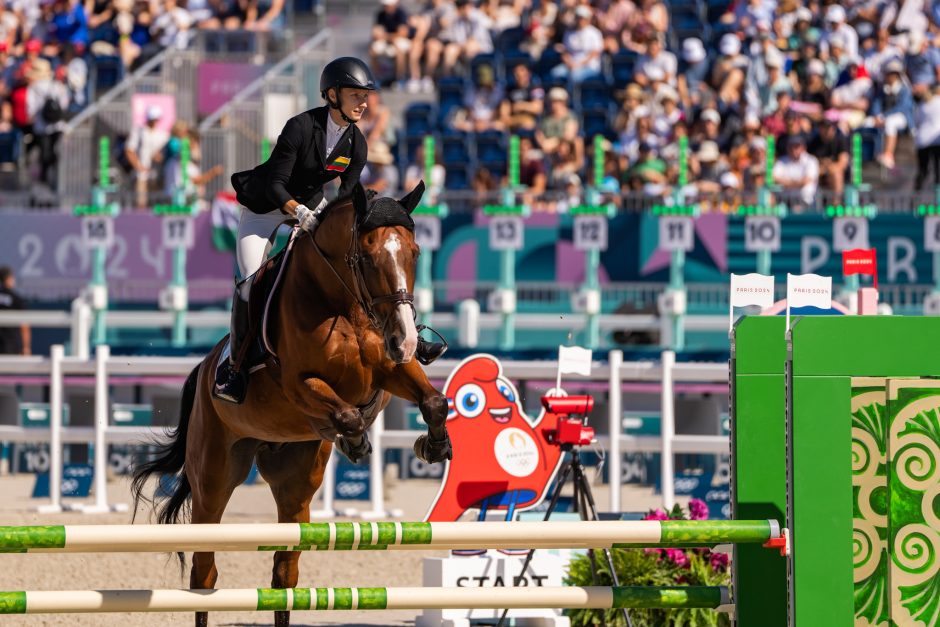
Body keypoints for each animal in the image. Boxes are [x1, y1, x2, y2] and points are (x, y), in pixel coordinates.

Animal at [132, 182, 452, 627]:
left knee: (284, 574)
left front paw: (433, 446)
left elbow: (434, 401)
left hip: (295, 483)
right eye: (367, 257)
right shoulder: (298, 384)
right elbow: (348, 414)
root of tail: (204, 368)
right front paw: (356, 444)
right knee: (204, 571)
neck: (343, 305)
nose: (405, 338)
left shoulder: (391, 371)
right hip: (214, 477)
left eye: (415, 252)